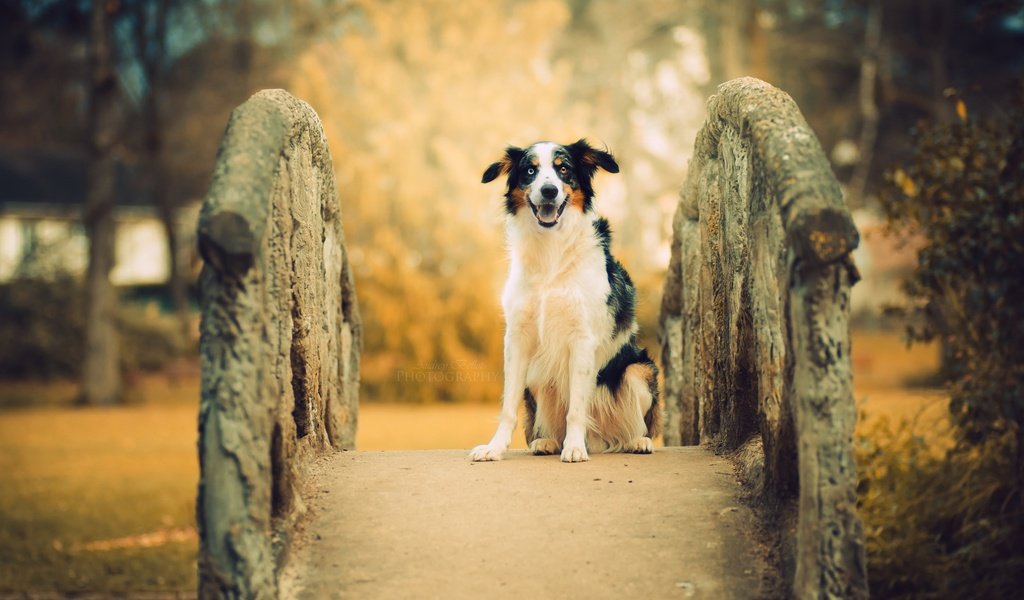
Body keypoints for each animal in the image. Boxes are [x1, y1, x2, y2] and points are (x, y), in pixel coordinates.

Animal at [468, 138, 659, 460]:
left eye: (564, 169)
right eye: (530, 170)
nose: (549, 191)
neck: (551, 250)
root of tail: (599, 440)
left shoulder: (582, 338)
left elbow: (577, 408)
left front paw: (574, 448)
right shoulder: (517, 338)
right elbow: (508, 407)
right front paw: (495, 448)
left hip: (638, 370)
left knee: (636, 423)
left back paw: (636, 441)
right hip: (537, 377)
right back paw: (546, 442)